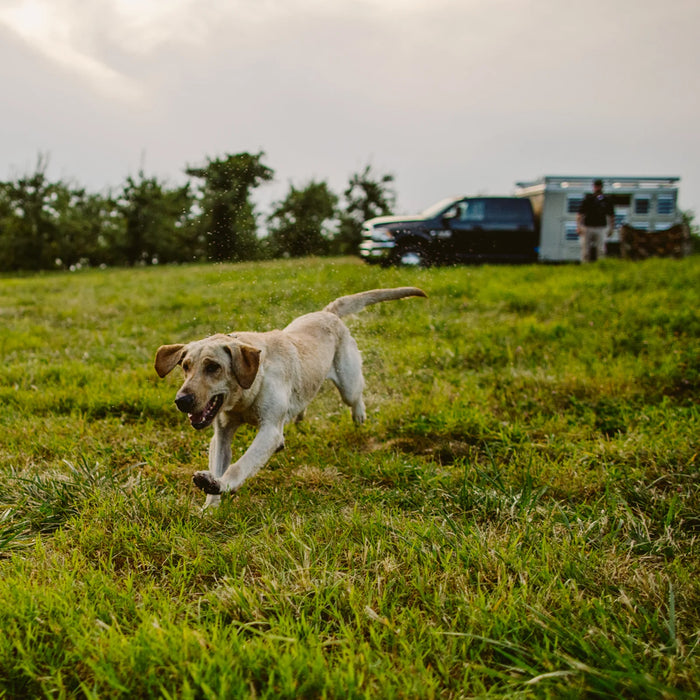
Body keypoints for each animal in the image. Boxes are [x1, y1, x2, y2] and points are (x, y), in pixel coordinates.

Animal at [155, 288, 424, 506]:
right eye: (185, 366)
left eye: (213, 367)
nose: (182, 400)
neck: (247, 391)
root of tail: (327, 313)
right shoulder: (222, 434)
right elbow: (220, 464)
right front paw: (210, 506)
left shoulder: (269, 431)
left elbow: (239, 466)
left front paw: (219, 484)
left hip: (348, 380)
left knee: (355, 397)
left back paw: (359, 416)